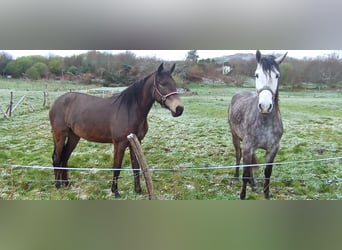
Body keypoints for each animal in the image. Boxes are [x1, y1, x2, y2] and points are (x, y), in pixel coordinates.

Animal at [48, 63, 184, 197]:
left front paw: (138, 190)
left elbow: (136, 166)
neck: (130, 110)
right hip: (60, 135)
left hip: (74, 136)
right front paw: (115, 191)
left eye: (174, 83)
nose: (179, 109)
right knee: (57, 157)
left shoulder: (135, 141)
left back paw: (66, 184)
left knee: (65, 157)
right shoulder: (120, 143)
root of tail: (57, 102)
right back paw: (58, 185)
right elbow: (117, 167)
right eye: (162, 83)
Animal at [228, 50, 288, 199]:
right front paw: (242, 195)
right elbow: (245, 173)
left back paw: (253, 184)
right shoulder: (247, 146)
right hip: (235, 137)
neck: (264, 121)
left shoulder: (273, 149)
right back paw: (235, 178)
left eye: (277, 75)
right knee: (238, 155)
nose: (265, 106)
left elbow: (268, 174)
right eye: (256, 74)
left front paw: (266, 194)